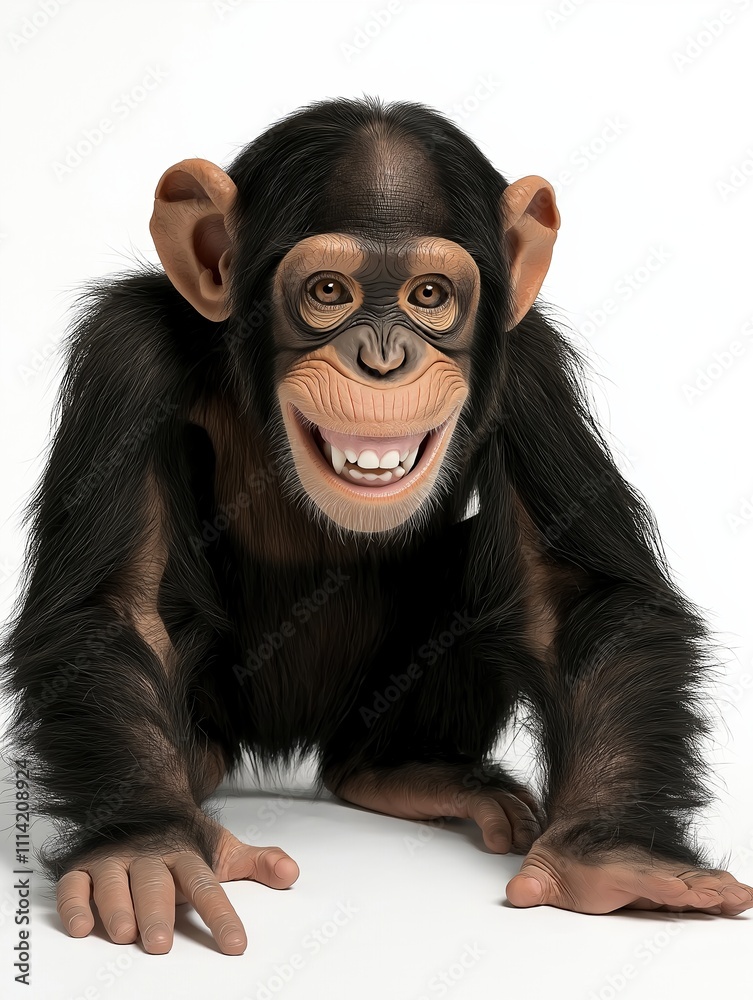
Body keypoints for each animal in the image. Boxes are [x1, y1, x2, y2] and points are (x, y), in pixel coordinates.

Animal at [3, 96, 751, 956]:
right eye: (329, 290)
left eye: (428, 295)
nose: (384, 358)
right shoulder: (125, 353)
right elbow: (122, 608)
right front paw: (143, 849)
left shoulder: (533, 372)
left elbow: (571, 599)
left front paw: (615, 853)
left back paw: (410, 773)